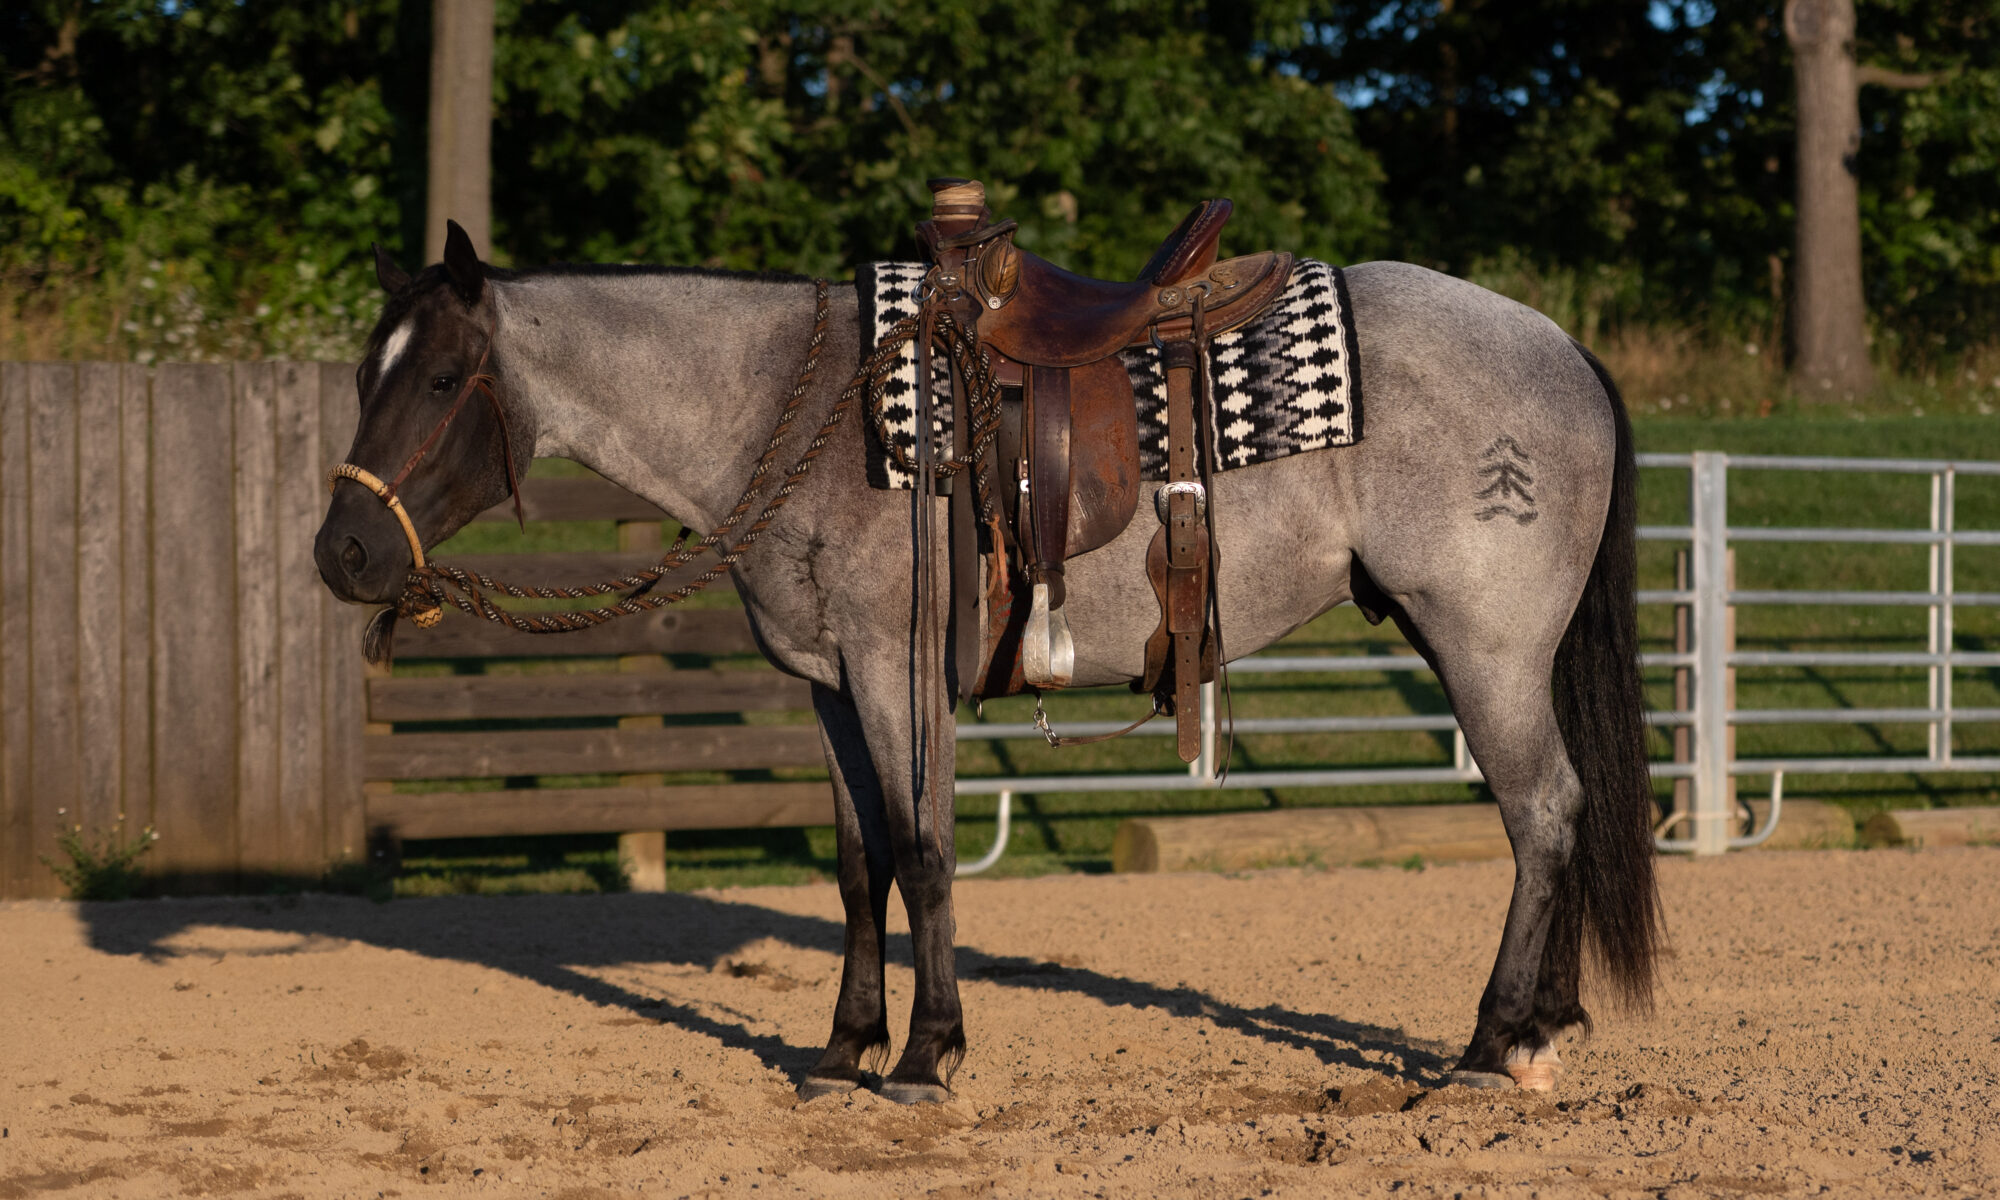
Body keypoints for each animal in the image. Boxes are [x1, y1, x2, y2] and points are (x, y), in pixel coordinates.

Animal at [314, 221, 1662, 1105]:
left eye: (443, 376)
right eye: (364, 376)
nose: (342, 552)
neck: (796, 414)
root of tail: (1561, 348)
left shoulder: (892, 669)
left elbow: (921, 852)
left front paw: (926, 1057)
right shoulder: (826, 684)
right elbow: (859, 864)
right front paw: (843, 1051)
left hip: (1482, 643)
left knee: (1541, 812)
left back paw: (1492, 1046)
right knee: (1555, 816)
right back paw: (1545, 1027)